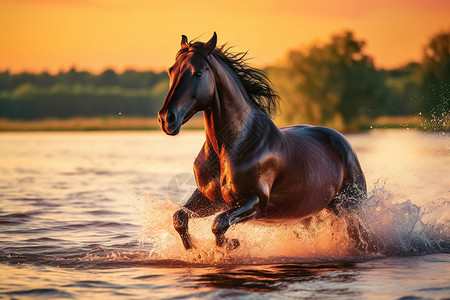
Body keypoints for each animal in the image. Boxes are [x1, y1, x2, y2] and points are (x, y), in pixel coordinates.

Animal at [156, 31, 368, 250]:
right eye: (171, 70)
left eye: (197, 73)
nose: (167, 118)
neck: (232, 145)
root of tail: (342, 142)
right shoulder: (209, 199)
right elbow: (180, 217)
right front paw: (194, 249)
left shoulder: (256, 201)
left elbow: (219, 223)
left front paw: (232, 244)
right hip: (311, 214)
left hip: (351, 206)